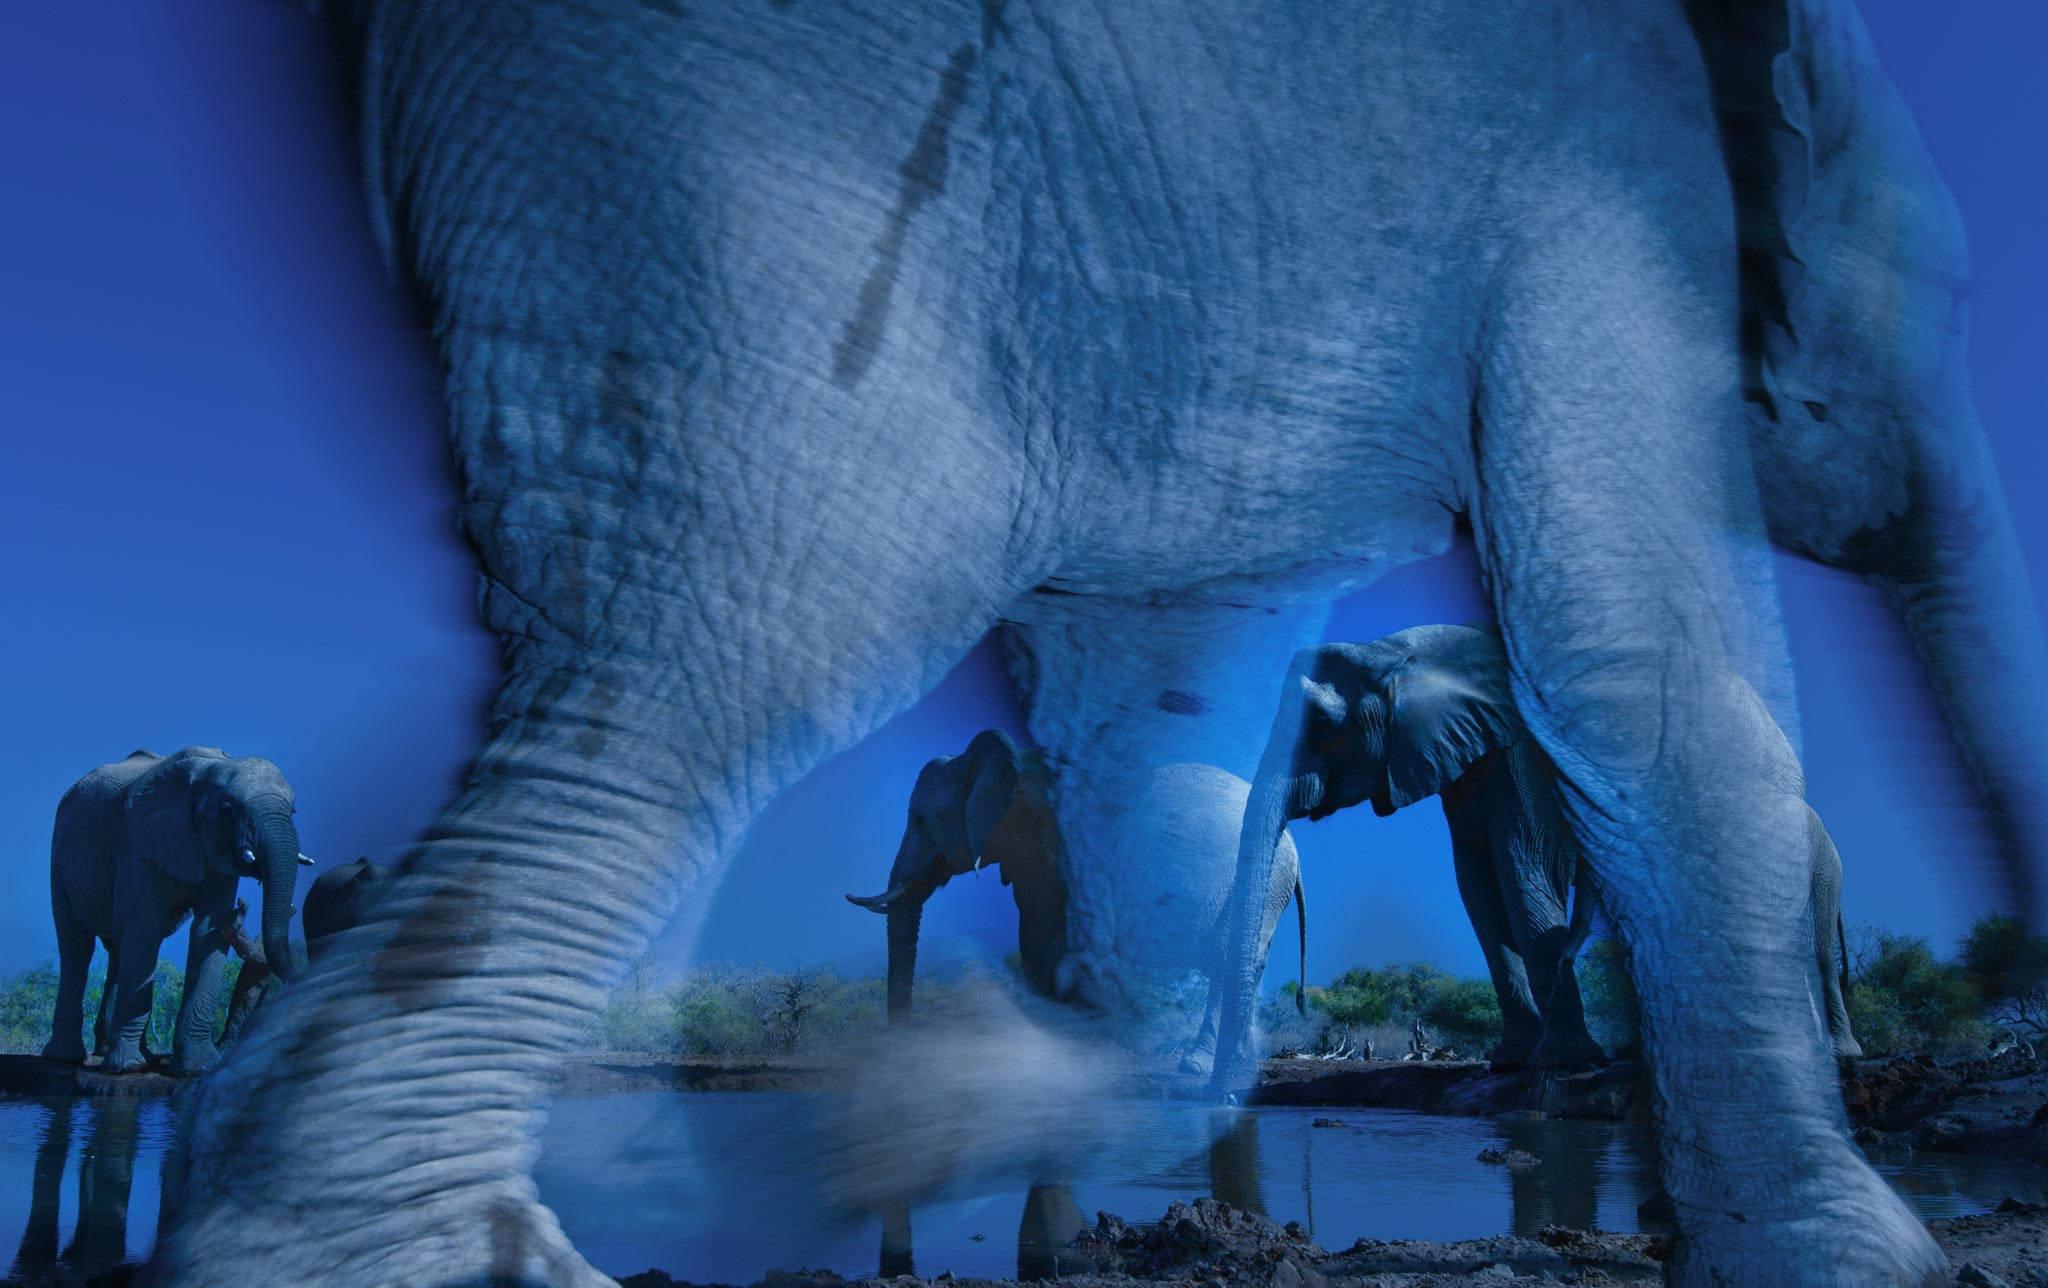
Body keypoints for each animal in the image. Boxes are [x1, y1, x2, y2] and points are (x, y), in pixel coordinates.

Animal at [42, 748, 307, 1075]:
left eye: (293, 811)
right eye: (227, 809)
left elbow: (209, 931)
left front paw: (198, 1068)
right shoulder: (137, 845)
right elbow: (144, 929)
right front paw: (127, 1068)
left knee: (117, 947)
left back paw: (132, 1055)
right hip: (60, 857)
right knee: (77, 945)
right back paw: (69, 1058)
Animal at [845, 728, 1306, 1073]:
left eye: (921, 820)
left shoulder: (1069, 851)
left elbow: (1079, 944)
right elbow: (1034, 947)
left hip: (1263, 881)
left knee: (1229, 958)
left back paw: (1198, 1066)